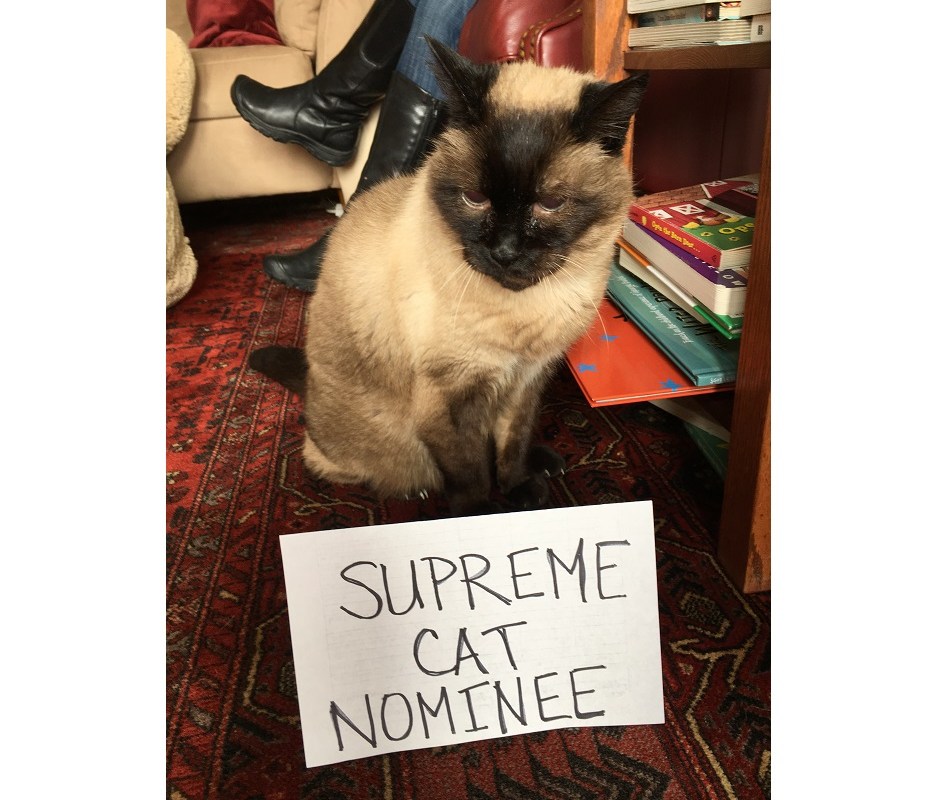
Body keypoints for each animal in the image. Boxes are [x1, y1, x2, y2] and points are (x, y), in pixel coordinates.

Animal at [250, 38, 648, 517]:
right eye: (474, 198)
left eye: (551, 204)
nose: (505, 252)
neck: (525, 312)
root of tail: (309, 384)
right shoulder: (448, 399)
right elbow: (471, 473)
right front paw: (485, 517)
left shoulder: (527, 381)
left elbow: (512, 446)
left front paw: (521, 490)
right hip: (362, 442)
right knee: (343, 460)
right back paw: (416, 491)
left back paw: (545, 465)